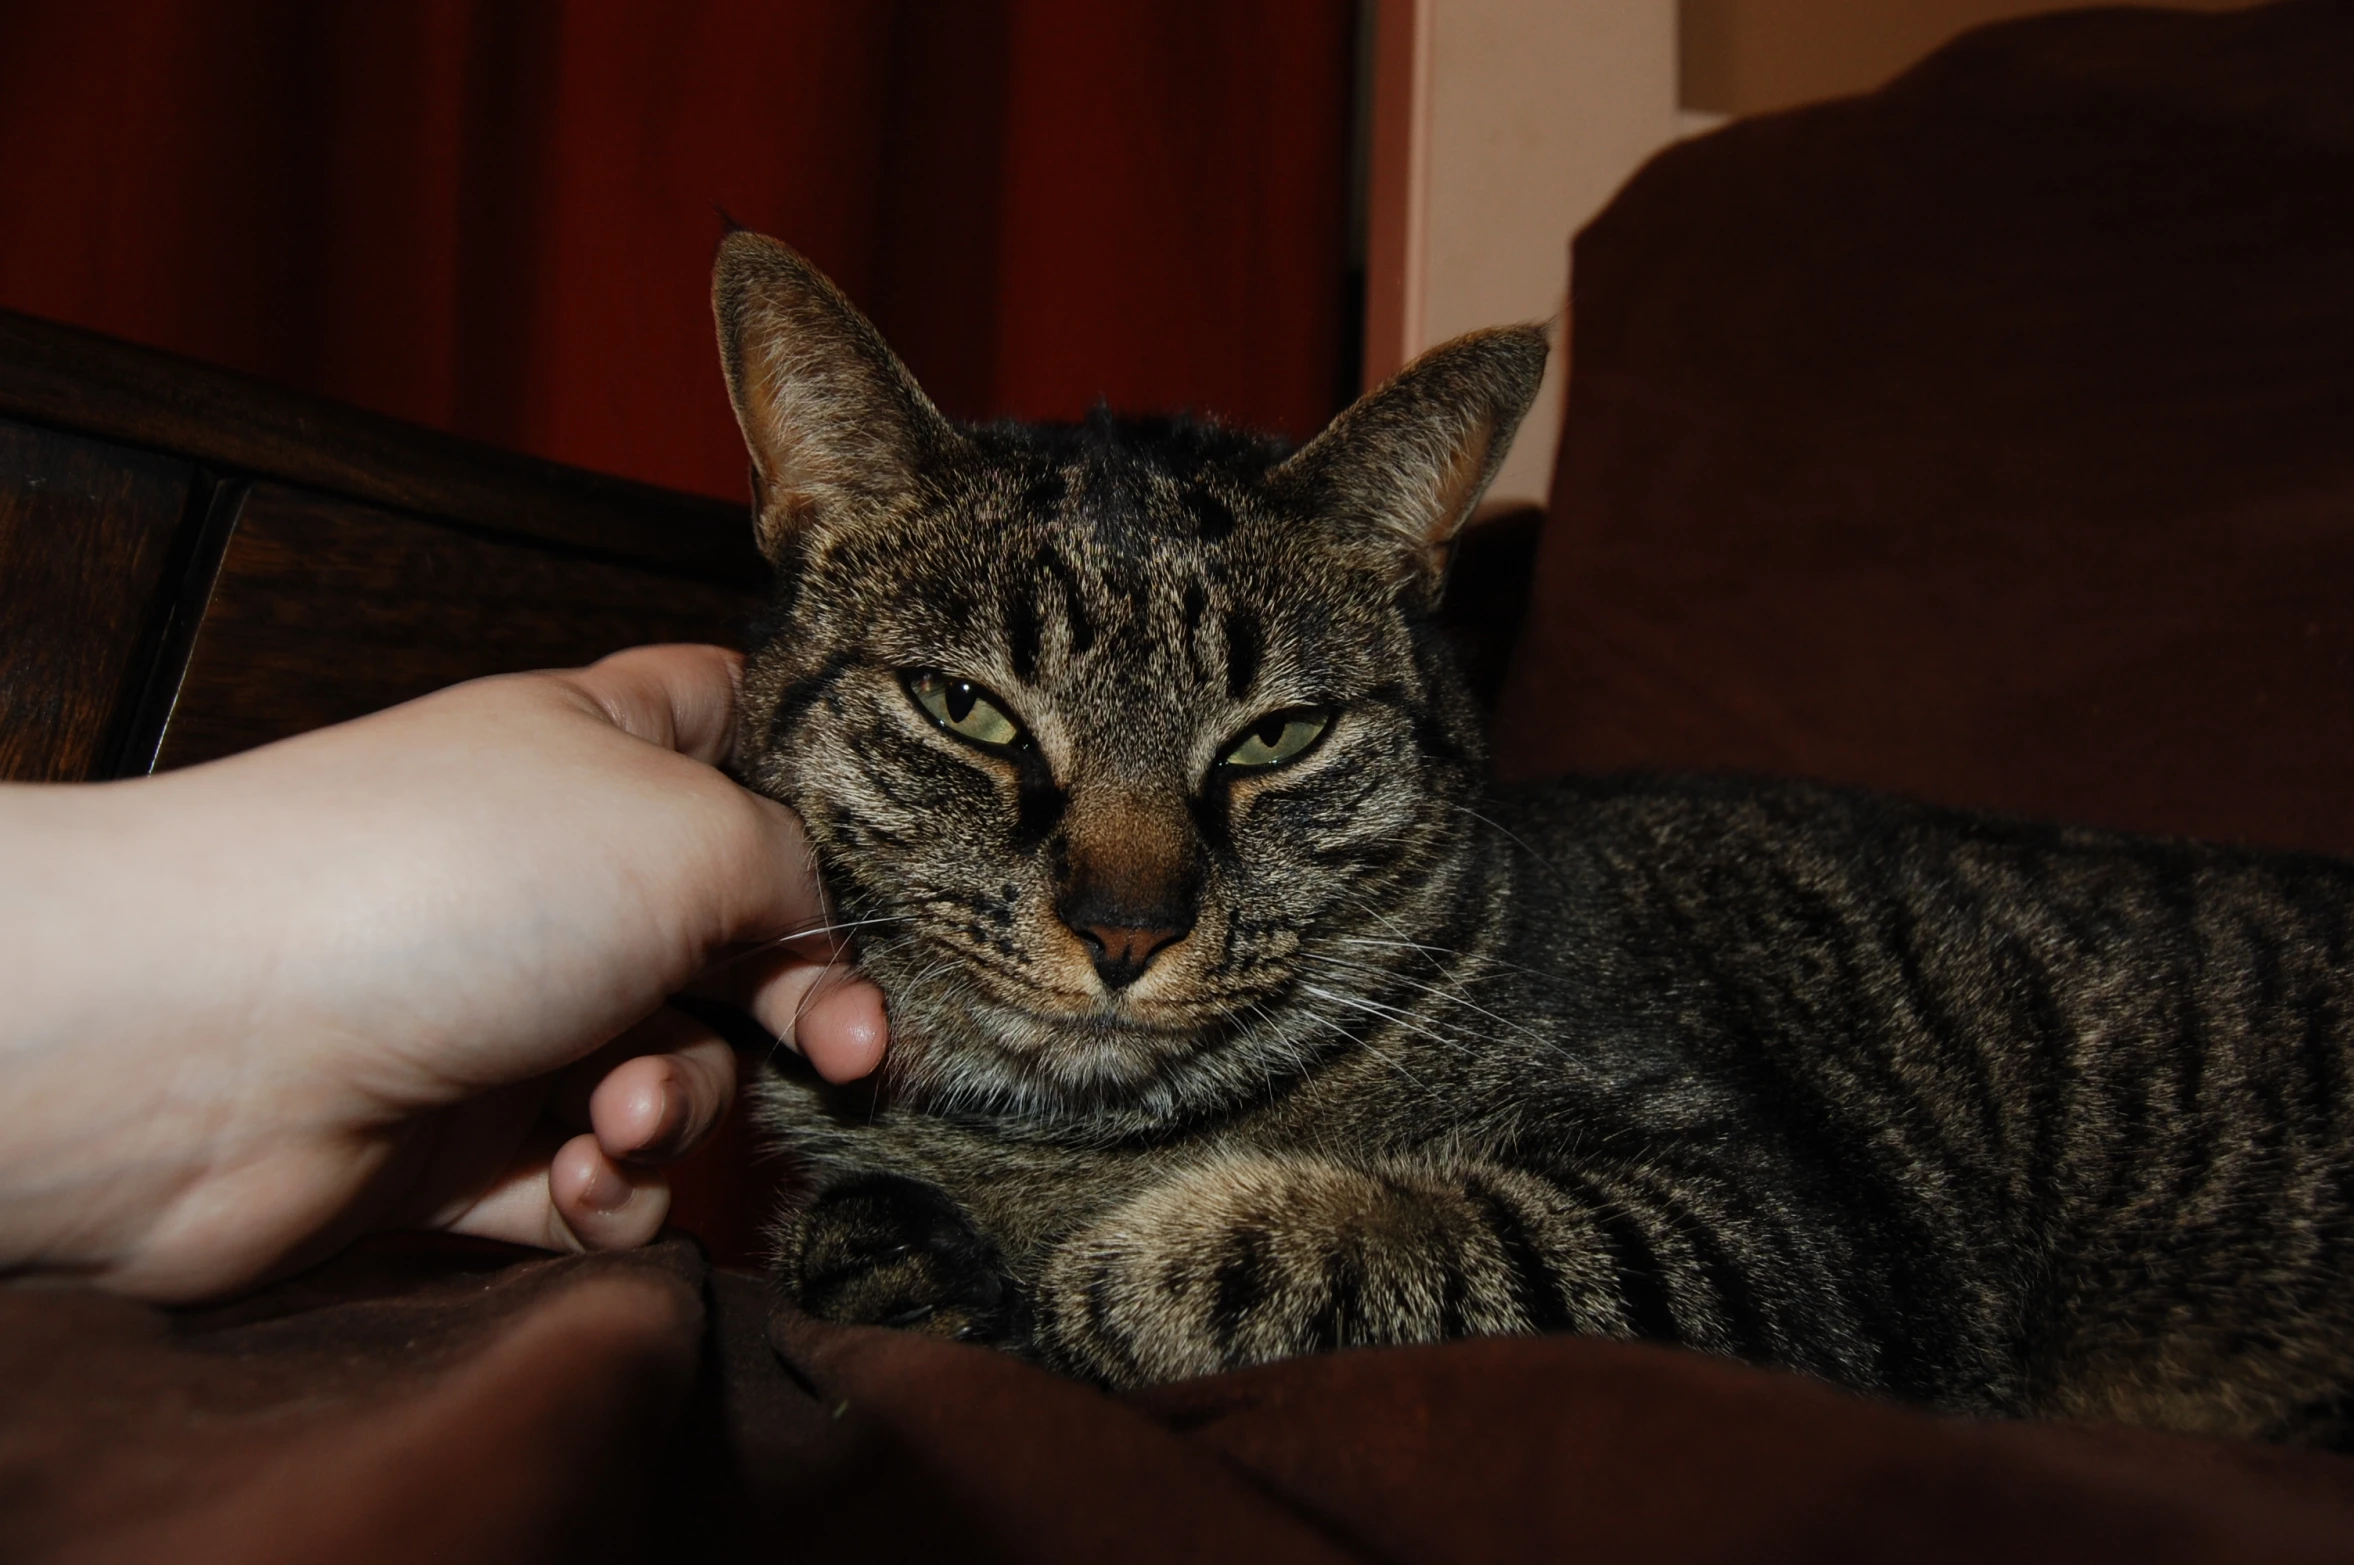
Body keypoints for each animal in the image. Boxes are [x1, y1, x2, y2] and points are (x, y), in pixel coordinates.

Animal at [710, 231, 2354, 1440]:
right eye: (966, 710)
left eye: (1276, 738)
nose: (1126, 929)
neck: (1064, 1138)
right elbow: (835, 1234)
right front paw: (908, 1252)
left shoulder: (1769, 1231)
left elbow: (1318, 1249)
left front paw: (1080, 1274)